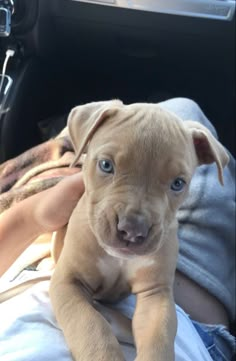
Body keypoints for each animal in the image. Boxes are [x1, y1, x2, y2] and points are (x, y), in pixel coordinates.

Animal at [49, 99, 229, 360]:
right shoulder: (68, 282)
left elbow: (158, 339)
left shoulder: (156, 294)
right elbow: (91, 326)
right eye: (106, 165)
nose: (132, 231)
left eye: (178, 183)